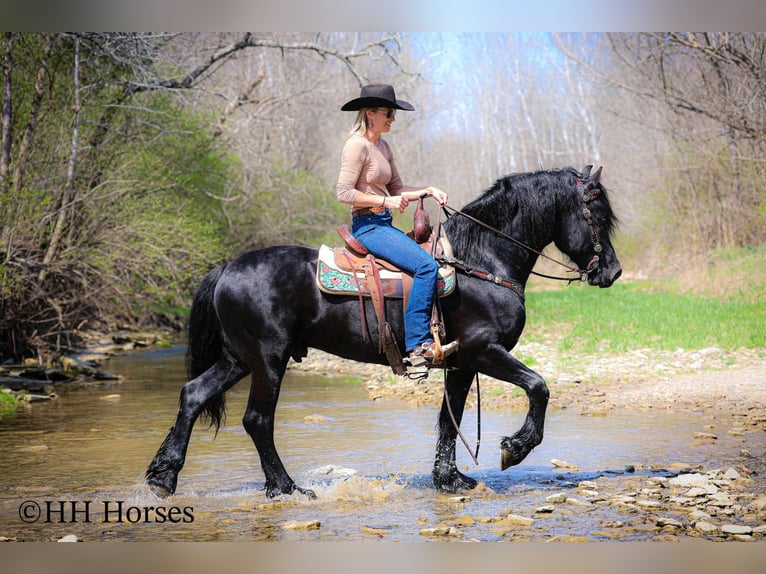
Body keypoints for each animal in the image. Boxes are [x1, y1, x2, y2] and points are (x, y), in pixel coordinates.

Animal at [145, 165, 621, 498]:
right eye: (596, 213)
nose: (613, 272)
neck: (481, 261)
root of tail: (226, 267)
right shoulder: (483, 351)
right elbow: (538, 387)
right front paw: (514, 448)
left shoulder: (460, 362)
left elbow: (449, 420)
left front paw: (450, 480)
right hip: (267, 360)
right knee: (258, 420)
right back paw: (285, 487)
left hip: (238, 358)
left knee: (193, 395)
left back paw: (163, 477)